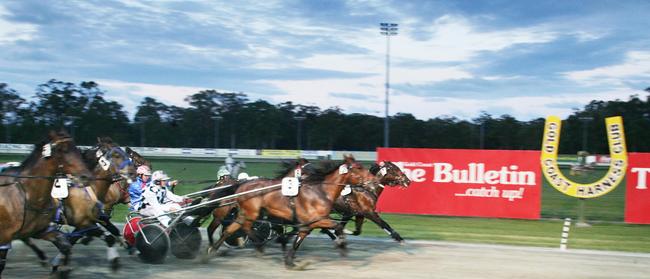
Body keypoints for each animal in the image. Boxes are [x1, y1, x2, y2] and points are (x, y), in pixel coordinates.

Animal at [0, 132, 92, 279]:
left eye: (77, 149)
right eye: (62, 150)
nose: (85, 176)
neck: (27, 194)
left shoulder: (40, 230)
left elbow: (65, 245)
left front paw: (61, 270)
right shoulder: (5, 237)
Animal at [208, 154, 370, 270]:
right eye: (358, 168)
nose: (371, 179)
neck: (319, 191)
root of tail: (240, 186)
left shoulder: (306, 222)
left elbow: (297, 237)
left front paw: (290, 259)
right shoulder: (307, 219)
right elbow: (336, 227)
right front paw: (341, 244)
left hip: (244, 213)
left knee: (231, 229)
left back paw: (213, 250)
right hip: (248, 213)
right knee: (238, 227)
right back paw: (257, 245)